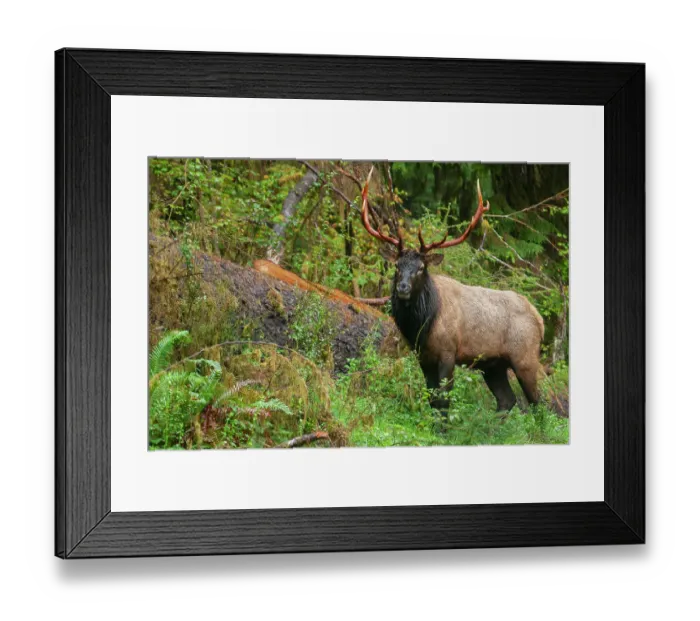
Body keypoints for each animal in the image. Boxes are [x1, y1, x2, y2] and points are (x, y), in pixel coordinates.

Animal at [360, 168, 544, 420]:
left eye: (421, 268)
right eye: (397, 266)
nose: (403, 288)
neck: (423, 324)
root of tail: (539, 318)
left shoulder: (448, 352)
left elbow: (443, 401)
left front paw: (444, 427)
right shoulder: (424, 357)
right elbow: (431, 400)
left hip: (525, 357)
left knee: (539, 405)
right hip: (493, 365)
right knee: (507, 399)